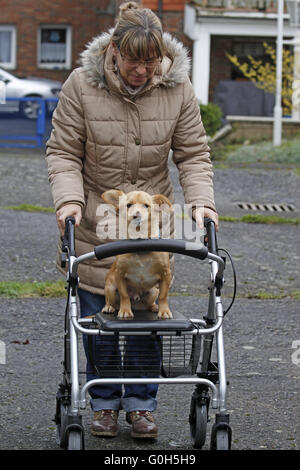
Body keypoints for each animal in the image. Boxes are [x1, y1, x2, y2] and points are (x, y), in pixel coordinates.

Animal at [100, 190, 172, 320]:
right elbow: (124, 296)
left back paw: (155, 307)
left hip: (154, 291)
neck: (140, 244)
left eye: (146, 206)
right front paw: (125, 311)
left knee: (150, 303)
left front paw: (164, 311)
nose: (136, 215)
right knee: (110, 300)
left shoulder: (166, 274)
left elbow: (163, 296)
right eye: (128, 205)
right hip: (110, 288)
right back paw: (109, 307)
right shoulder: (120, 275)